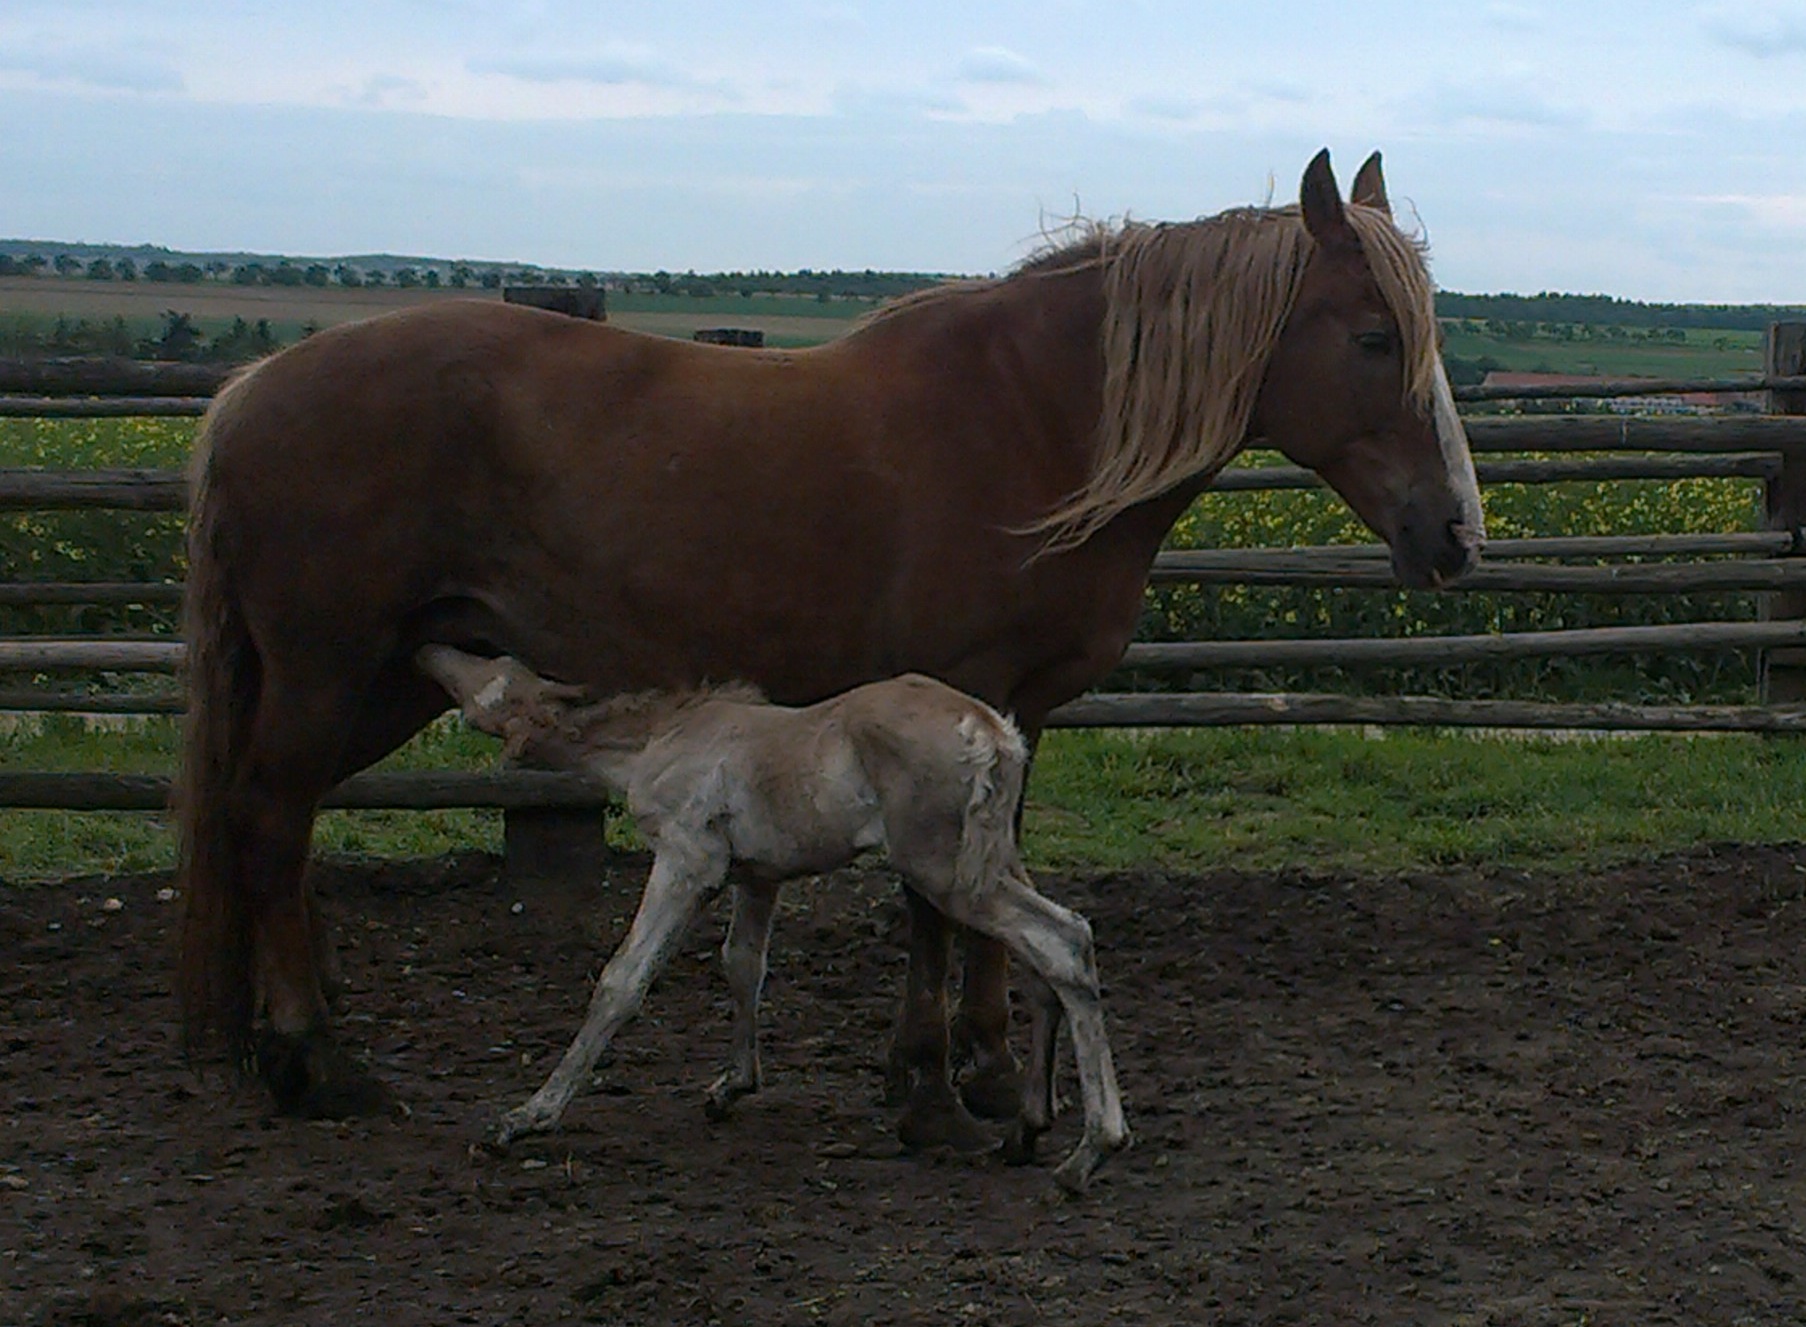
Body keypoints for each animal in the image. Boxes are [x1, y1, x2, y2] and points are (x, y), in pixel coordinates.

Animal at [422, 642, 1126, 1191]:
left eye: (490, 681)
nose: (430, 651)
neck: (655, 740)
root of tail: (994, 733)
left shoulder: (687, 858)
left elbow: (622, 980)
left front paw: (525, 1116)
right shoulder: (757, 875)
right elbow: (742, 964)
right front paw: (732, 1086)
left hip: (947, 872)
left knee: (1064, 939)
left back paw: (1093, 1150)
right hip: (992, 859)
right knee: (1047, 961)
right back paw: (1030, 1127)